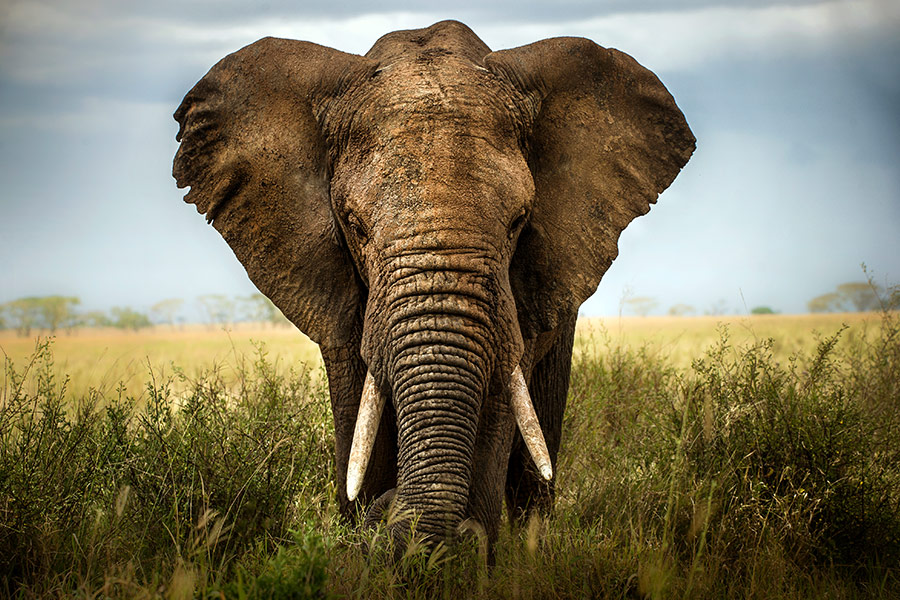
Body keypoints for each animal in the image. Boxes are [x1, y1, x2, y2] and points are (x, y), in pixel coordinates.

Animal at [173, 20, 694, 555]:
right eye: (355, 226)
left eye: (519, 222)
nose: (388, 512)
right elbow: (358, 411)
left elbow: (498, 404)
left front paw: (465, 552)